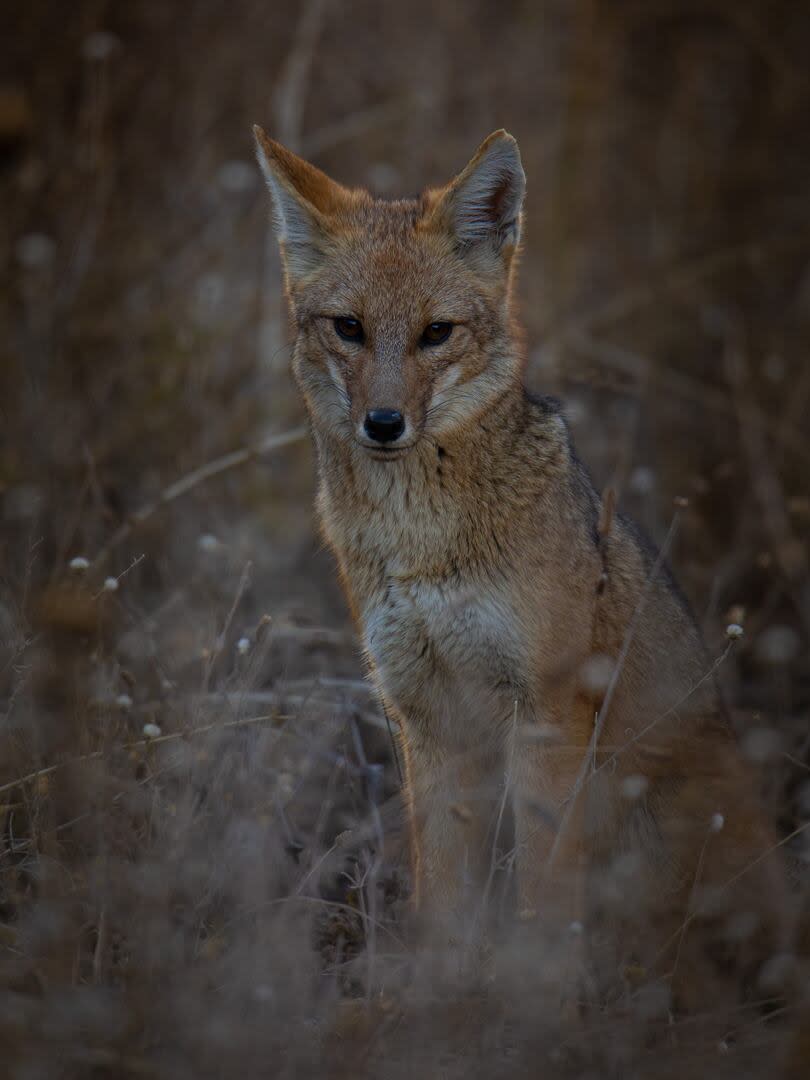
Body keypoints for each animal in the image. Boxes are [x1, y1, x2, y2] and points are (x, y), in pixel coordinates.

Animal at [257, 126, 794, 1010]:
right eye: (350, 328)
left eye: (436, 333)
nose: (383, 423)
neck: (422, 541)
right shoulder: (428, 718)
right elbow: (444, 900)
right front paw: (439, 1005)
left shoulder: (544, 712)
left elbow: (544, 896)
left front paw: (540, 1011)